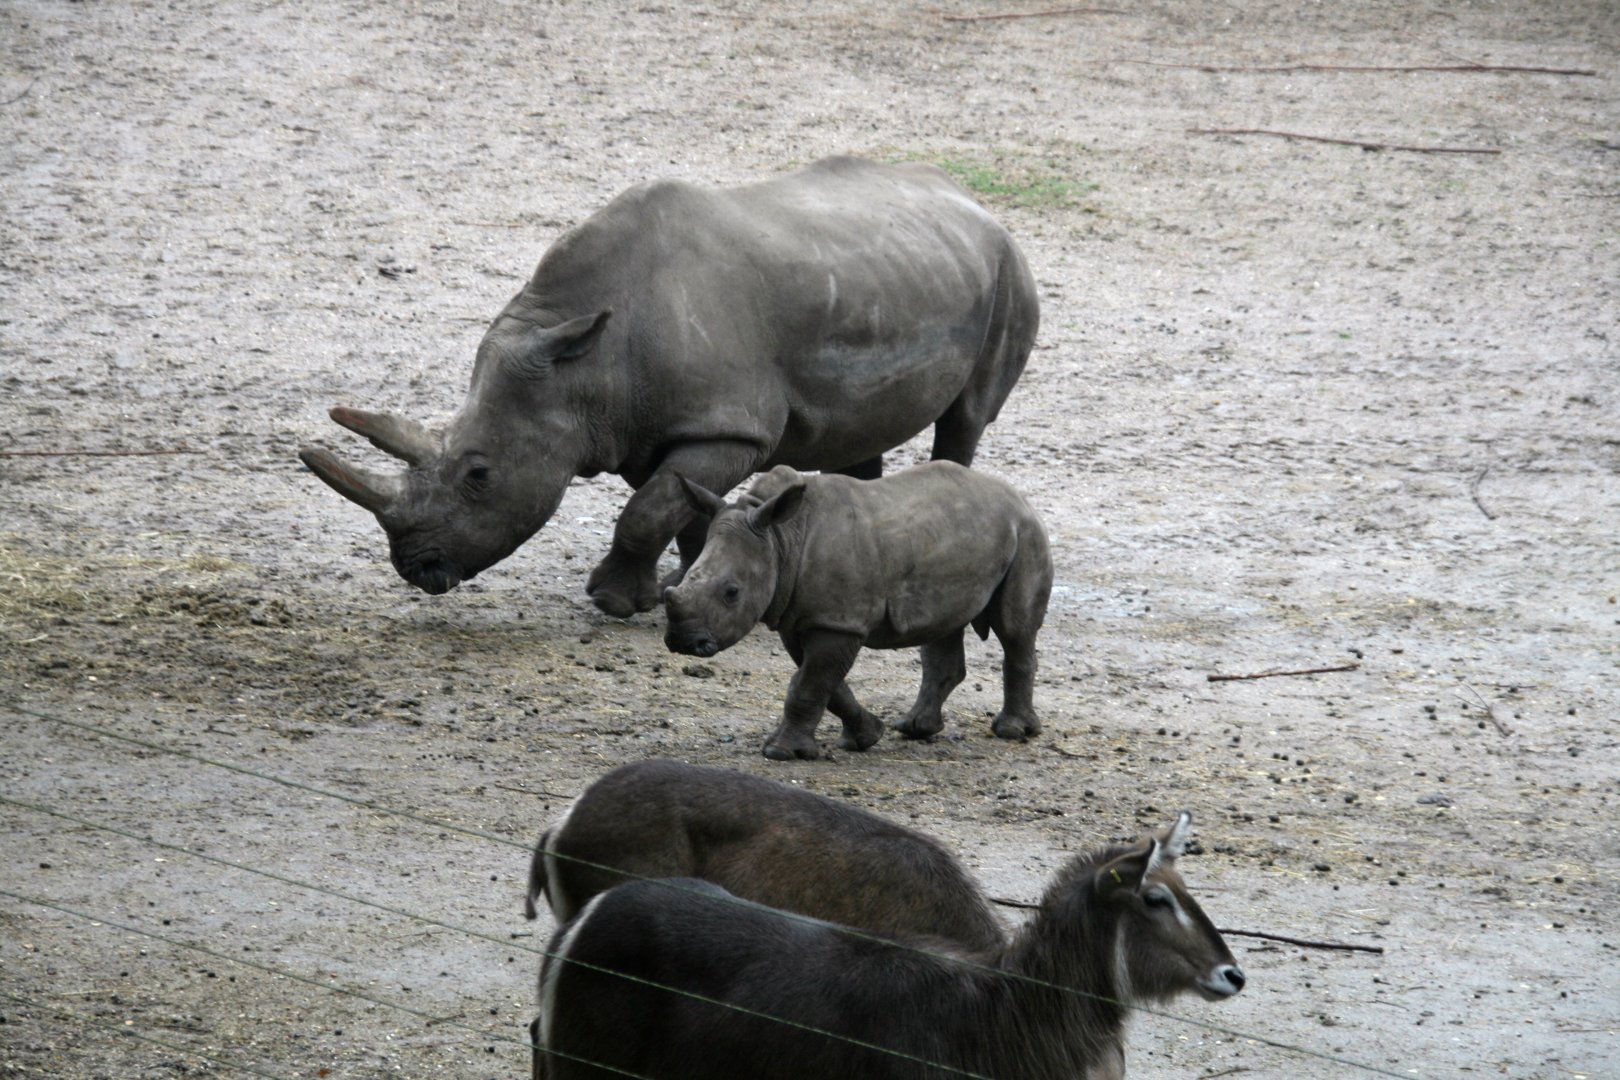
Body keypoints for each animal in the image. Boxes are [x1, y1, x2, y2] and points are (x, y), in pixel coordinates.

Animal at [298, 156, 1039, 618]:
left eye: (479, 474)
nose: (415, 568)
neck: (582, 365)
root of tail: (972, 201)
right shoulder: (638, 425)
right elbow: (676, 507)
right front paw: (684, 586)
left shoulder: (728, 424)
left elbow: (648, 510)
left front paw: (613, 602)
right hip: (899, 273)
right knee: (860, 434)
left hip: (1009, 273)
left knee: (968, 417)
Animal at [664, 462, 1053, 760]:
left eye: (731, 593)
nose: (683, 641)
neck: (780, 539)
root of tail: (1018, 497)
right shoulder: (803, 617)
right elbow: (824, 682)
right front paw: (867, 737)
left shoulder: (838, 621)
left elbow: (810, 682)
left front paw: (781, 753)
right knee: (943, 627)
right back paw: (914, 728)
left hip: (1027, 535)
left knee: (1014, 630)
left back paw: (1012, 731)